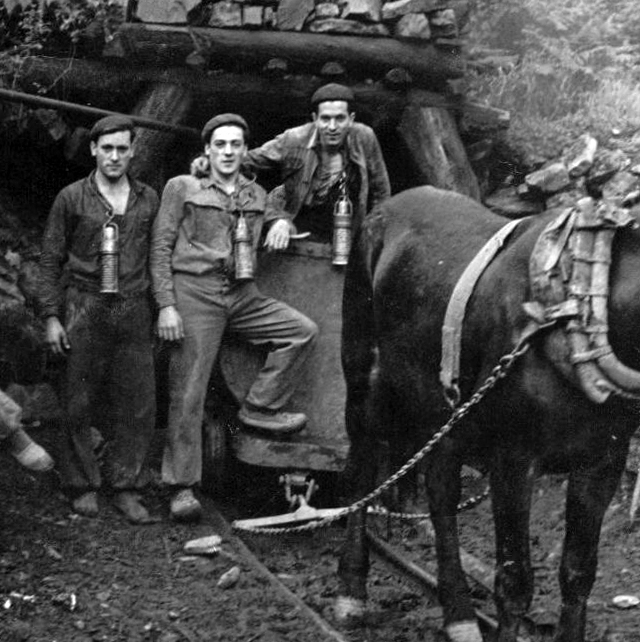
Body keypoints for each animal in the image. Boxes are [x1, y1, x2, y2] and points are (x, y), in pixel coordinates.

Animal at [336, 185, 640, 640]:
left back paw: (459, 613)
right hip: (363, 374)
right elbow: (514, 580)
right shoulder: (512, 458)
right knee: (361, 467)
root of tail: (384, 207)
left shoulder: (604, 459)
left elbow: (578, 572)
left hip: (442, 409)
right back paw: (351, 591)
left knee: (441, 493)